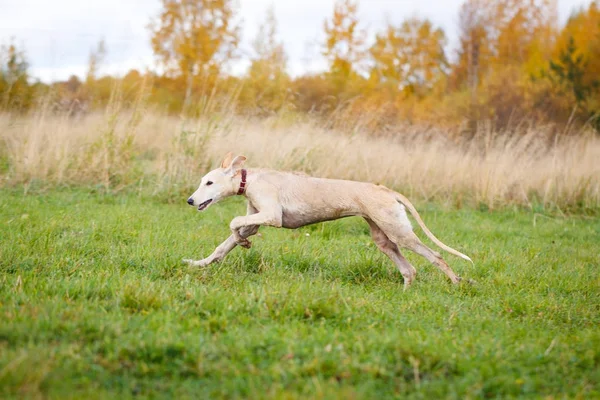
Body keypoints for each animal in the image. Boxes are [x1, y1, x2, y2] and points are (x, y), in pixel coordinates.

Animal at [180, 152, 472, 288]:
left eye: (209, 182)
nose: (190, 201)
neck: (250, 180)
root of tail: (387, 190)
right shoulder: (254, 219)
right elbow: (225, 244)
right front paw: (198, 263)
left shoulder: (272, 216)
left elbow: (233, 222)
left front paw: (242, 243)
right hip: (384, 238)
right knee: (409, 269)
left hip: (399, 231)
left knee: (436, 255)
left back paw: (456, 283)